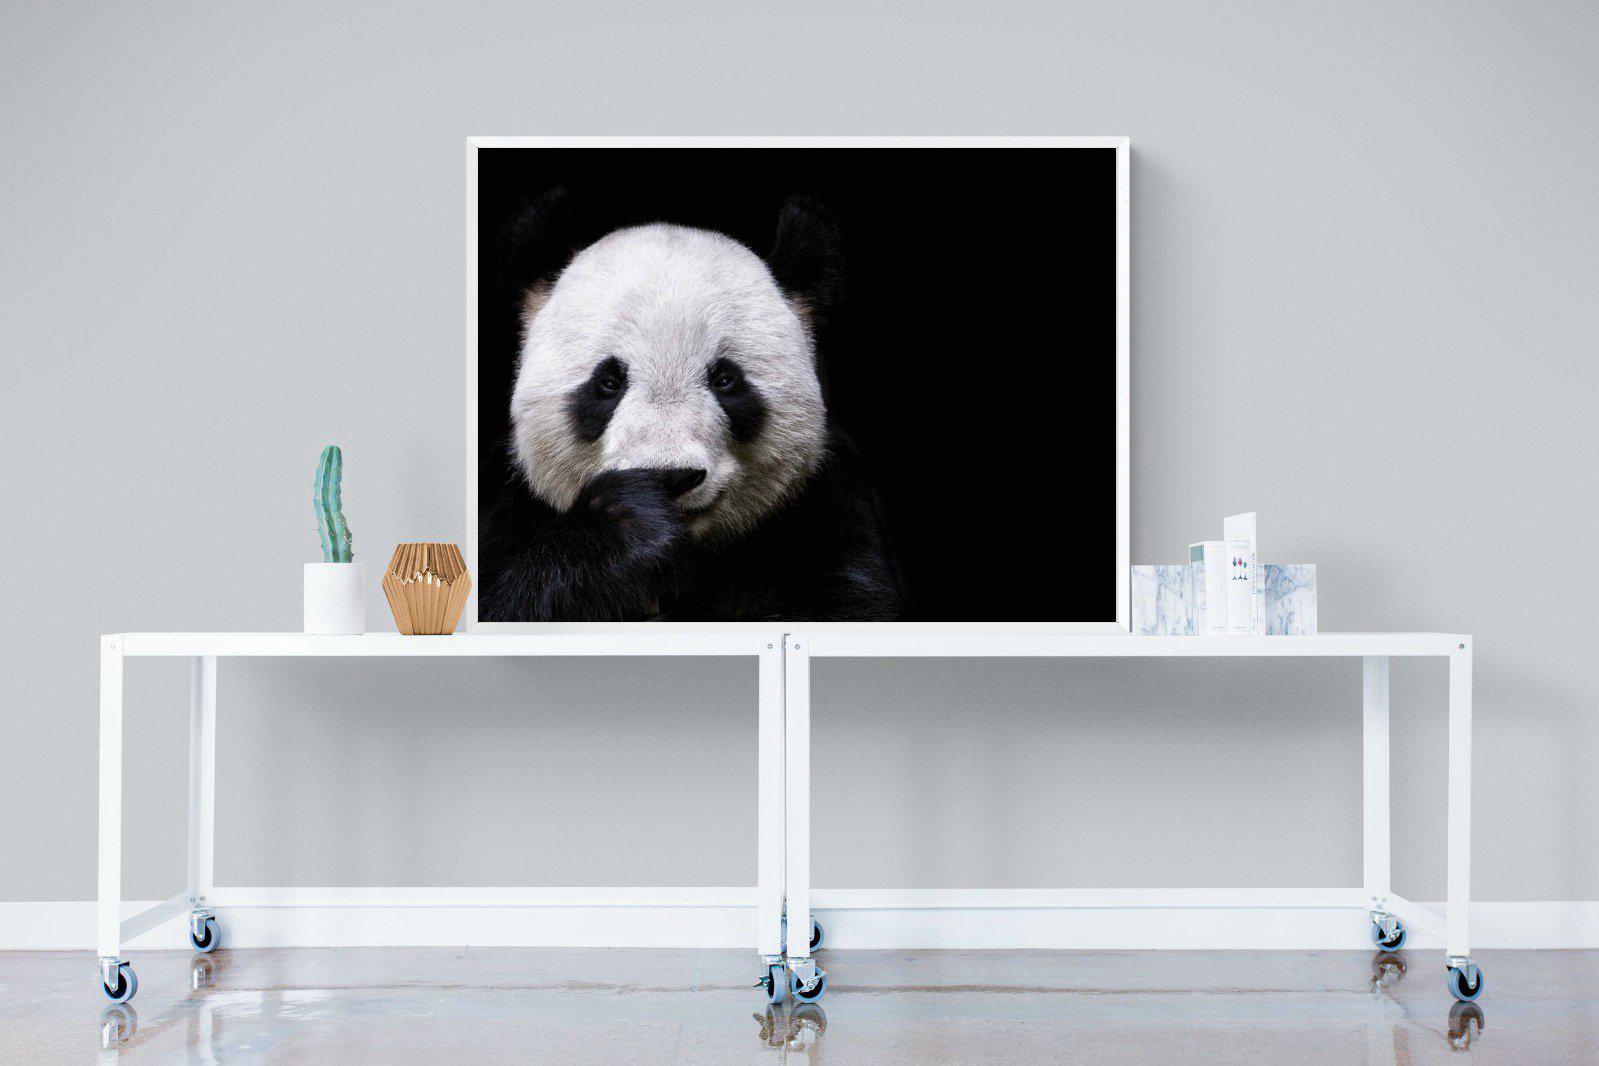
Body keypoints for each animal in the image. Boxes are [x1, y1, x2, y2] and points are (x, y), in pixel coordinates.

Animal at [479, 190, 907, 622]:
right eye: (609, 382)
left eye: (725, 379)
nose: (671, 476)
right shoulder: (506, 504)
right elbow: (506, 597)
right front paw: (629, 521)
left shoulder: (829, 506)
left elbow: (844, 604)